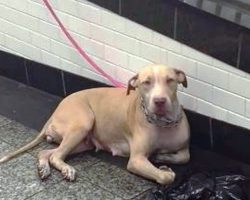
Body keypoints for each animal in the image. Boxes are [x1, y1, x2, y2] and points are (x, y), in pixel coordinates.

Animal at [0, 65, 189, 185]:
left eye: (170, 80)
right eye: (146, 82)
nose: (160, 101)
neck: (163, 123)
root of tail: (56, 110)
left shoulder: (183, 147)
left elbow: (184, 157)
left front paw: (162, 158)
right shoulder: (136, 160)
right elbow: (166, 178)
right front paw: (165, 170)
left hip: (83, 142)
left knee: (47, 152)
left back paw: (44, 168)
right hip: (83, 123)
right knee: (55, 155)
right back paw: (66, 170)